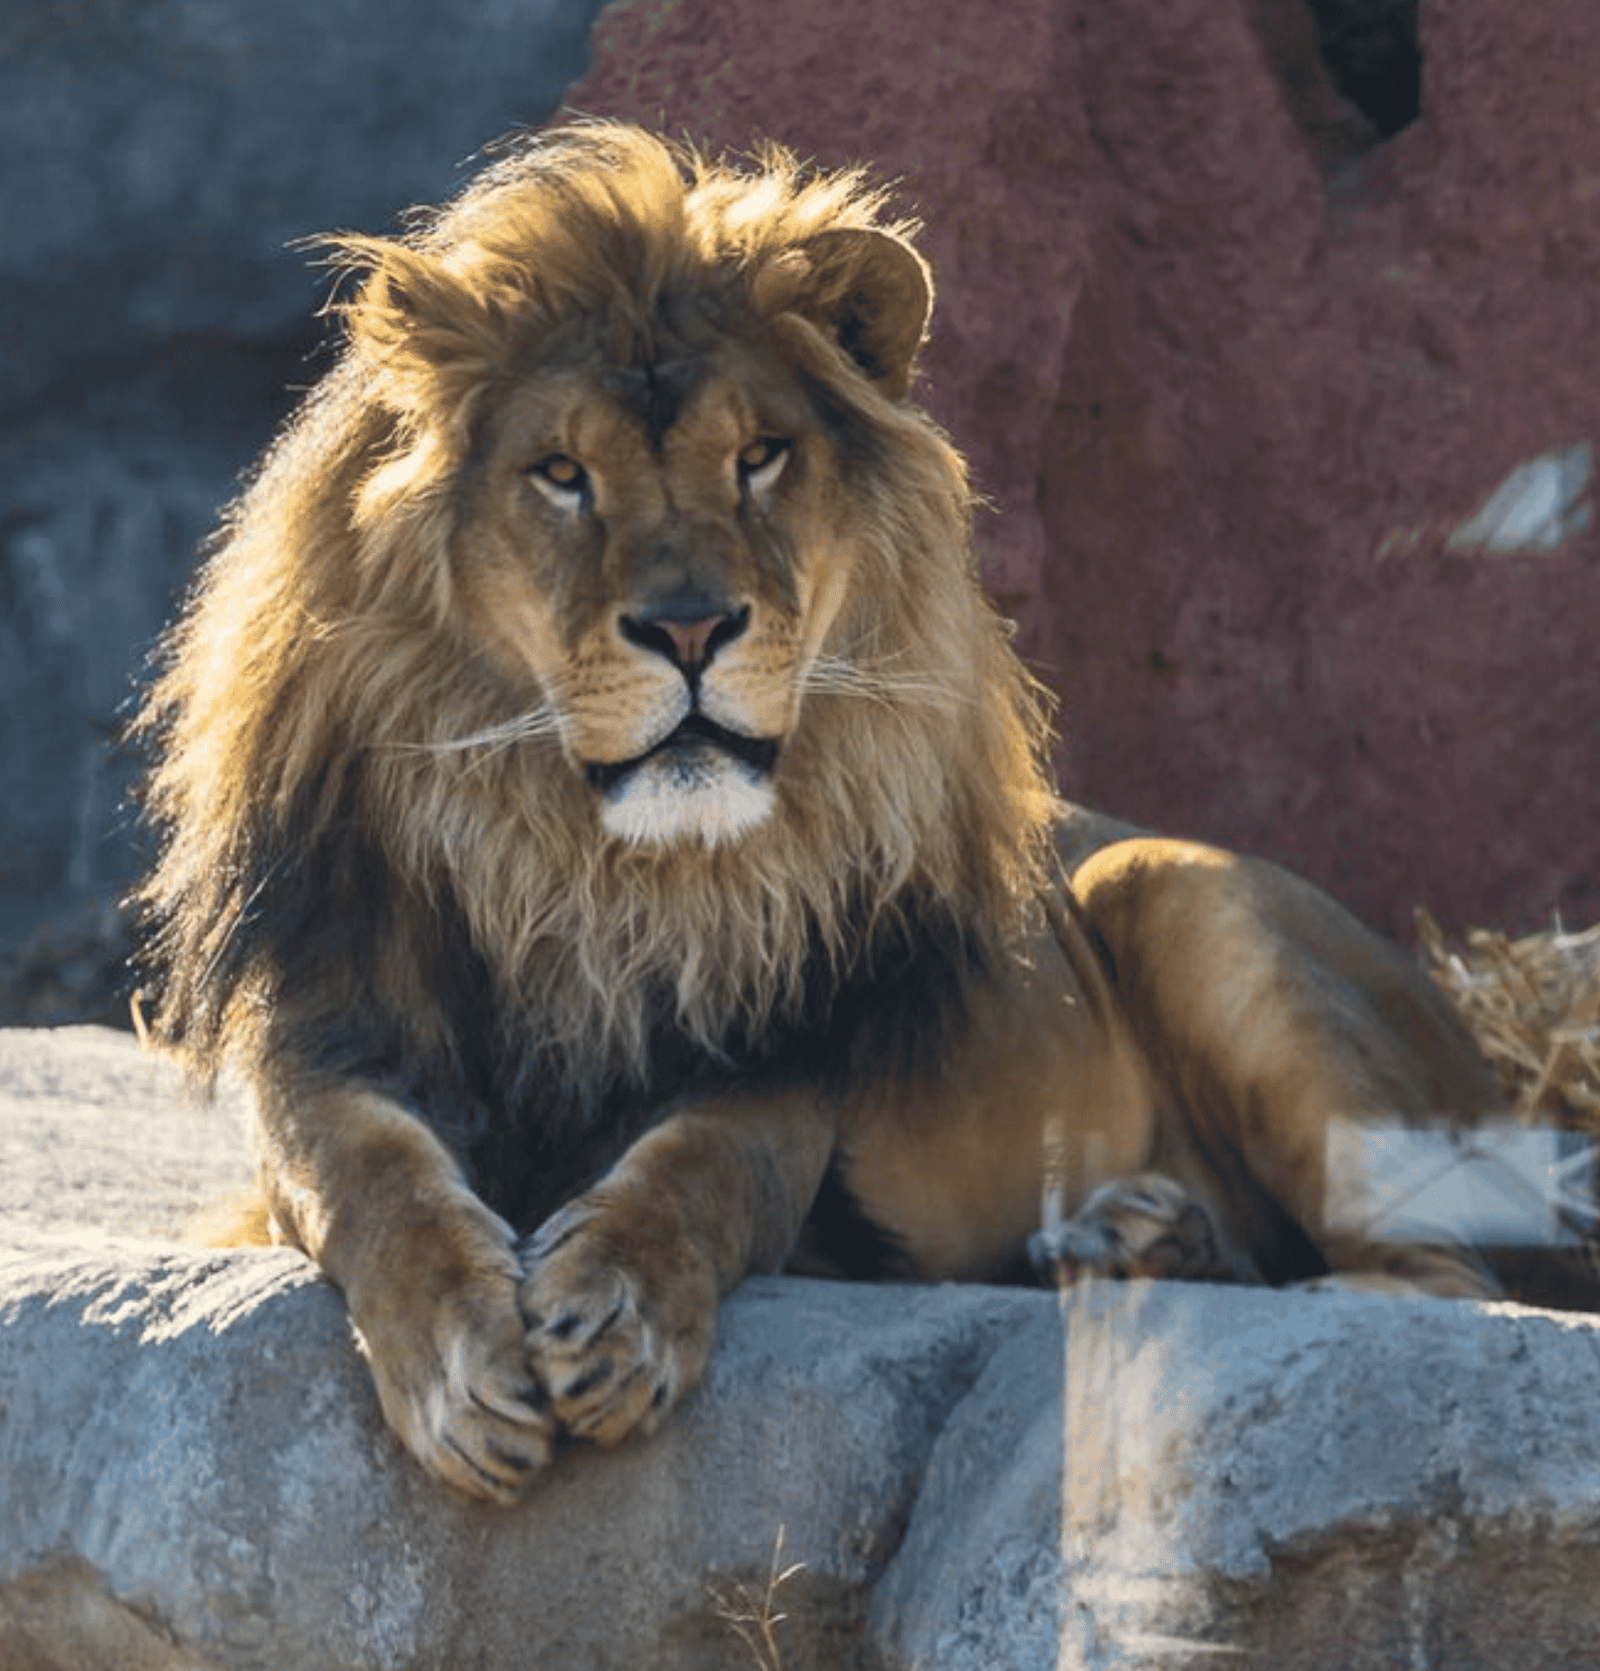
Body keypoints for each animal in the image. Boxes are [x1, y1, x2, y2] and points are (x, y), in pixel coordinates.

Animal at [133, 121, 1543, 1504]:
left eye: (758, 458)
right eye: (560, 473)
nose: (689, 628)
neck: (582, 866)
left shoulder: (782, 1062)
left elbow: (693, 1174)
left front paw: (617, 1315)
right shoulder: (322, 1032)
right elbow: (368, 1182)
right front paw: (462, 1370)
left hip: (1169, 885)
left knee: (1449, 1290)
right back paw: (1130, 1243)